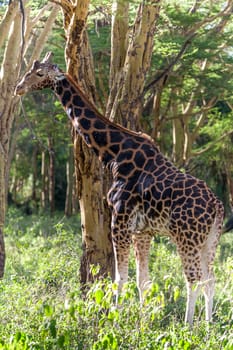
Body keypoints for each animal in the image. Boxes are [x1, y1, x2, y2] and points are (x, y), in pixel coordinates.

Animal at [15, 52, 231, 326]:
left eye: (40, 73)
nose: (18, 88)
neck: (113, 154)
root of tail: (218, 207)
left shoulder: (120, 219)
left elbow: (120, 278)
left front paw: (115, 322)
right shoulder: (143, 231)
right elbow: (143, 281)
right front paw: (143, 322)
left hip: (186, 238)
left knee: (193, 279)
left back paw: (188, 327)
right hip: (210, 240)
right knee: (211, 279)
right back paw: (209, 326)